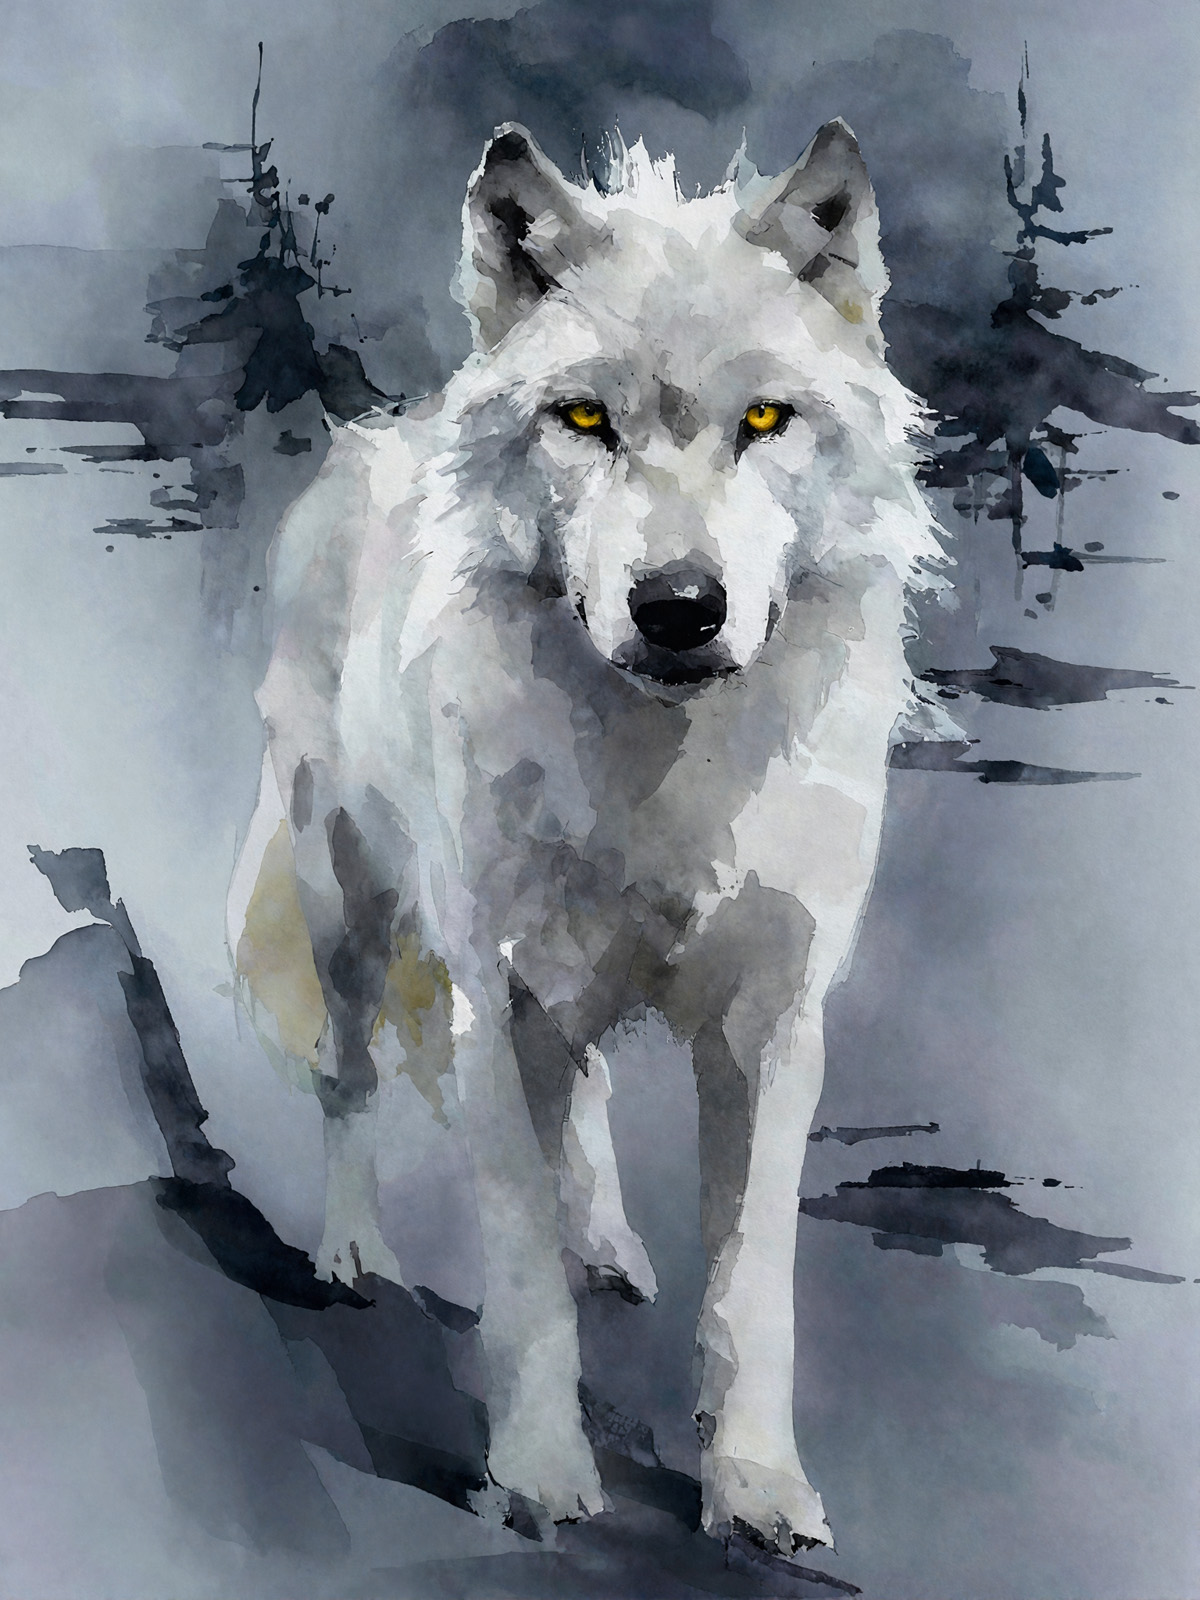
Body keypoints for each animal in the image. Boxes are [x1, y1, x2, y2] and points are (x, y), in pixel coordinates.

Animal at [228, 118, 939, 1557]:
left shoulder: (770, 1026)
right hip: (351, 909)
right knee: (348, 1073)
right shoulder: (497, 1007)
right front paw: (542, 1472)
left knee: (594, 1094)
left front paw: (754, 1486)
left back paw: (603, 1238)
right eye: (585, 421)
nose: (678, 606)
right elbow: (518, 1288)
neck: (662, 778)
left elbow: (750, 1290)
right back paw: (352, 1248)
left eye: (764, 420)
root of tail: (369, 440)